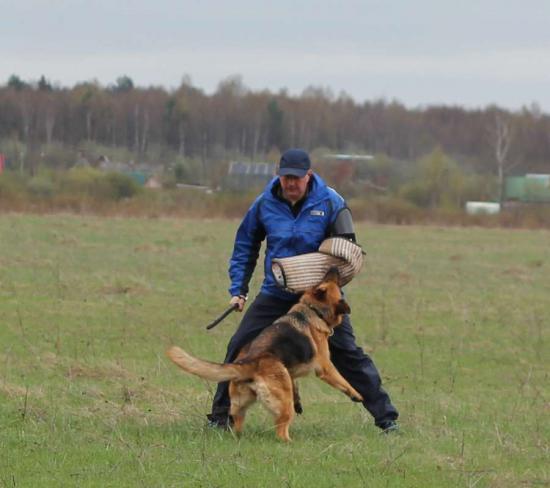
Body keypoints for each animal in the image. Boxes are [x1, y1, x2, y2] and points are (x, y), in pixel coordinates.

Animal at [166, 266, 364, 442]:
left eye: (324, 278)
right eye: (333, 282)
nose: (334, 268)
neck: (312, 310)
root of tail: (249, 362)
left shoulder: (290, 372)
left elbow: (296, 384)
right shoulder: (325, 366)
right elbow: (343, 381)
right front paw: (356, 394)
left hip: (240, 406)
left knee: (238, 427)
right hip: (283, 404)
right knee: (281, 431)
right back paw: (290, 442)